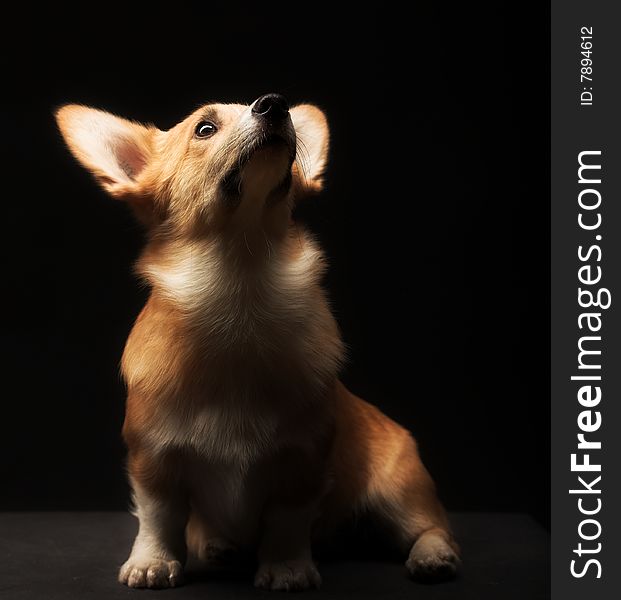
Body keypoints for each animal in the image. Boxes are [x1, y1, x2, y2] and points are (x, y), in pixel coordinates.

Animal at [54, 94, 460, 592]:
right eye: (205, 129)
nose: (274, 104)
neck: (238, 291)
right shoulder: (151, 461)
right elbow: (158, 517)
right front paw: (152, 561)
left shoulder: (302, 462)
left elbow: (286, 521)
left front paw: (286, 568)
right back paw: (220, 546)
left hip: (399, 491)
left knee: (432, 528)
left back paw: (432, 556)